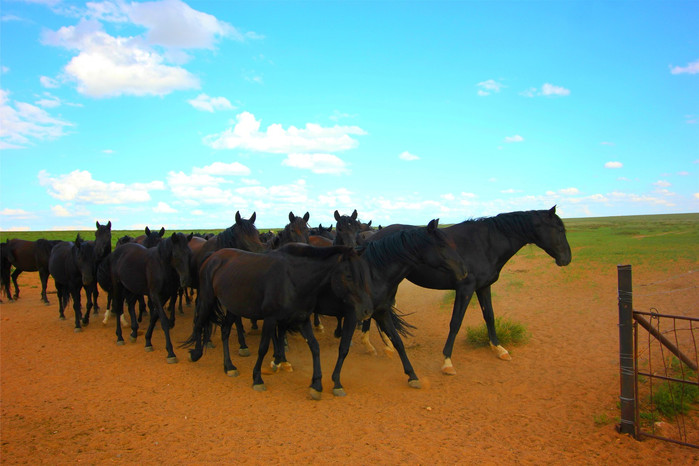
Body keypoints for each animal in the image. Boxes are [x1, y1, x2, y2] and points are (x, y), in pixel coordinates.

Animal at [183, 244, 374, 400]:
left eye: (364, 275)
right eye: (349, 276)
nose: (367, 310)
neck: (293, 279)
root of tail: (213, 256)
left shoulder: (302, 319)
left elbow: (314, 347)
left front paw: (316, 385)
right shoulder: (270, 319)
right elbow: (263, 348)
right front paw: (257, 378)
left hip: (233, 307)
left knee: (224, 330)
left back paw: (229, 366)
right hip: (207, 298)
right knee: (199, 323)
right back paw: (196, 353)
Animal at [370, 208, 572, 374]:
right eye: (559, 230)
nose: (567, 259)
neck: (485, 244)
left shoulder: (483, 287)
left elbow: (489, 316)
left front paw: (498, 349)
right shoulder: (465, 288)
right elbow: (455, 322)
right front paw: (447, 361)